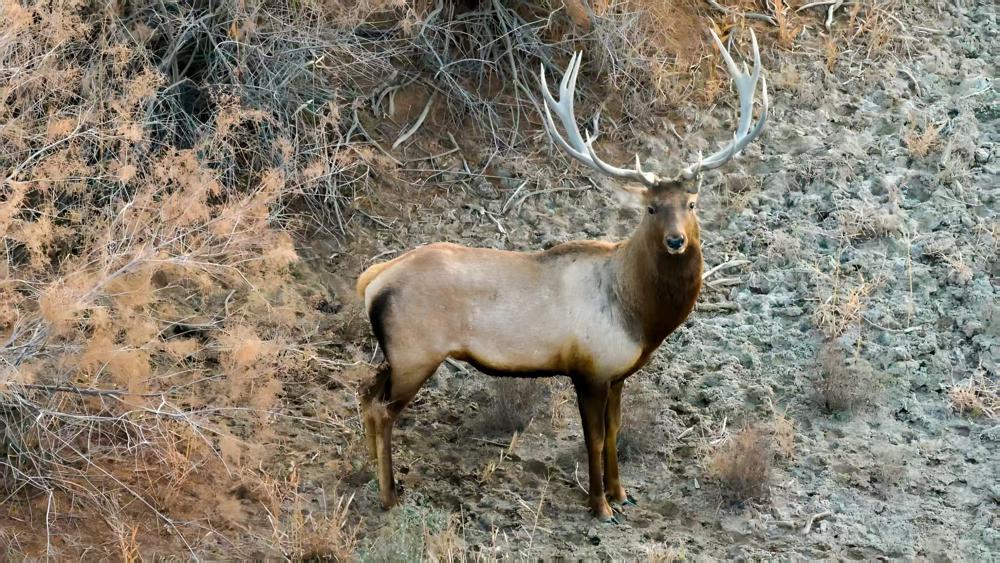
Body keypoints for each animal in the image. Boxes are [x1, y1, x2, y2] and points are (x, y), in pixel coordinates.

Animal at [356, 29, 768, 522]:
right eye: (651, 208)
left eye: (690, 204)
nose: (675, 241)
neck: (640, 316)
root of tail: (372, 281)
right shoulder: (588, 369)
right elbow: (593, 439)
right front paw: (599, 505)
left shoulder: (617, 372)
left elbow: (615, 432)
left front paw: (621, 493)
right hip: (416, 352)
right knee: (382, 409)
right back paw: (388, 496)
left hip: (397, 356)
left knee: (365, 395)